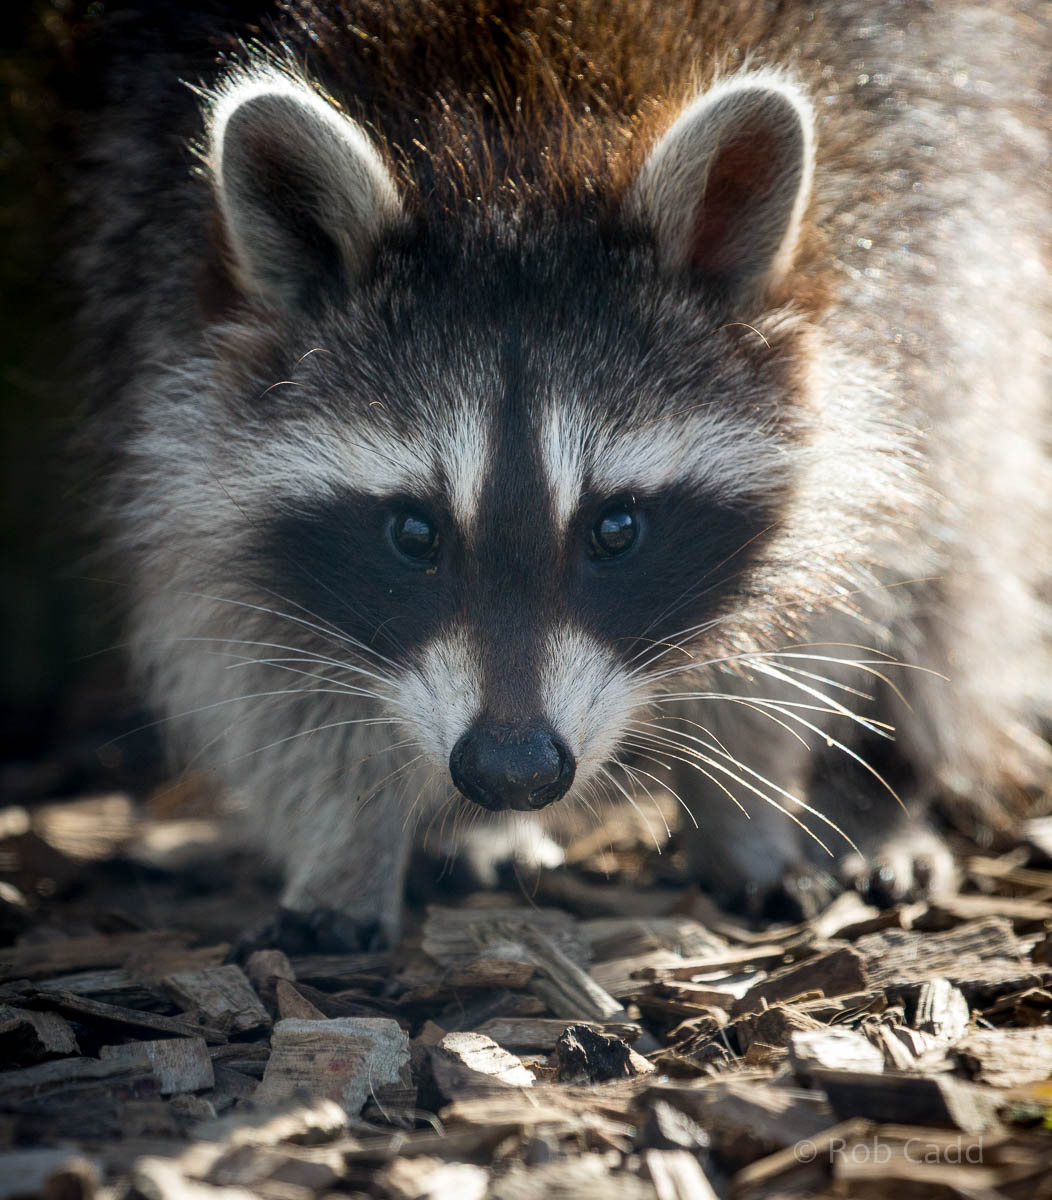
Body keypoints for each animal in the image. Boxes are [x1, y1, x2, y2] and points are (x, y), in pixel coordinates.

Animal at [73, 0, 1049, 945]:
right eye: (414, 532)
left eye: (616, 529)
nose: (511, 772)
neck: (514, 126)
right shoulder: (161, 304)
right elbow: (251, 647)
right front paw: (347, 833)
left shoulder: (900, 219)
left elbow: (825, 591)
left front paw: (748, 807)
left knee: (968, 533)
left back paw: (887, 793)